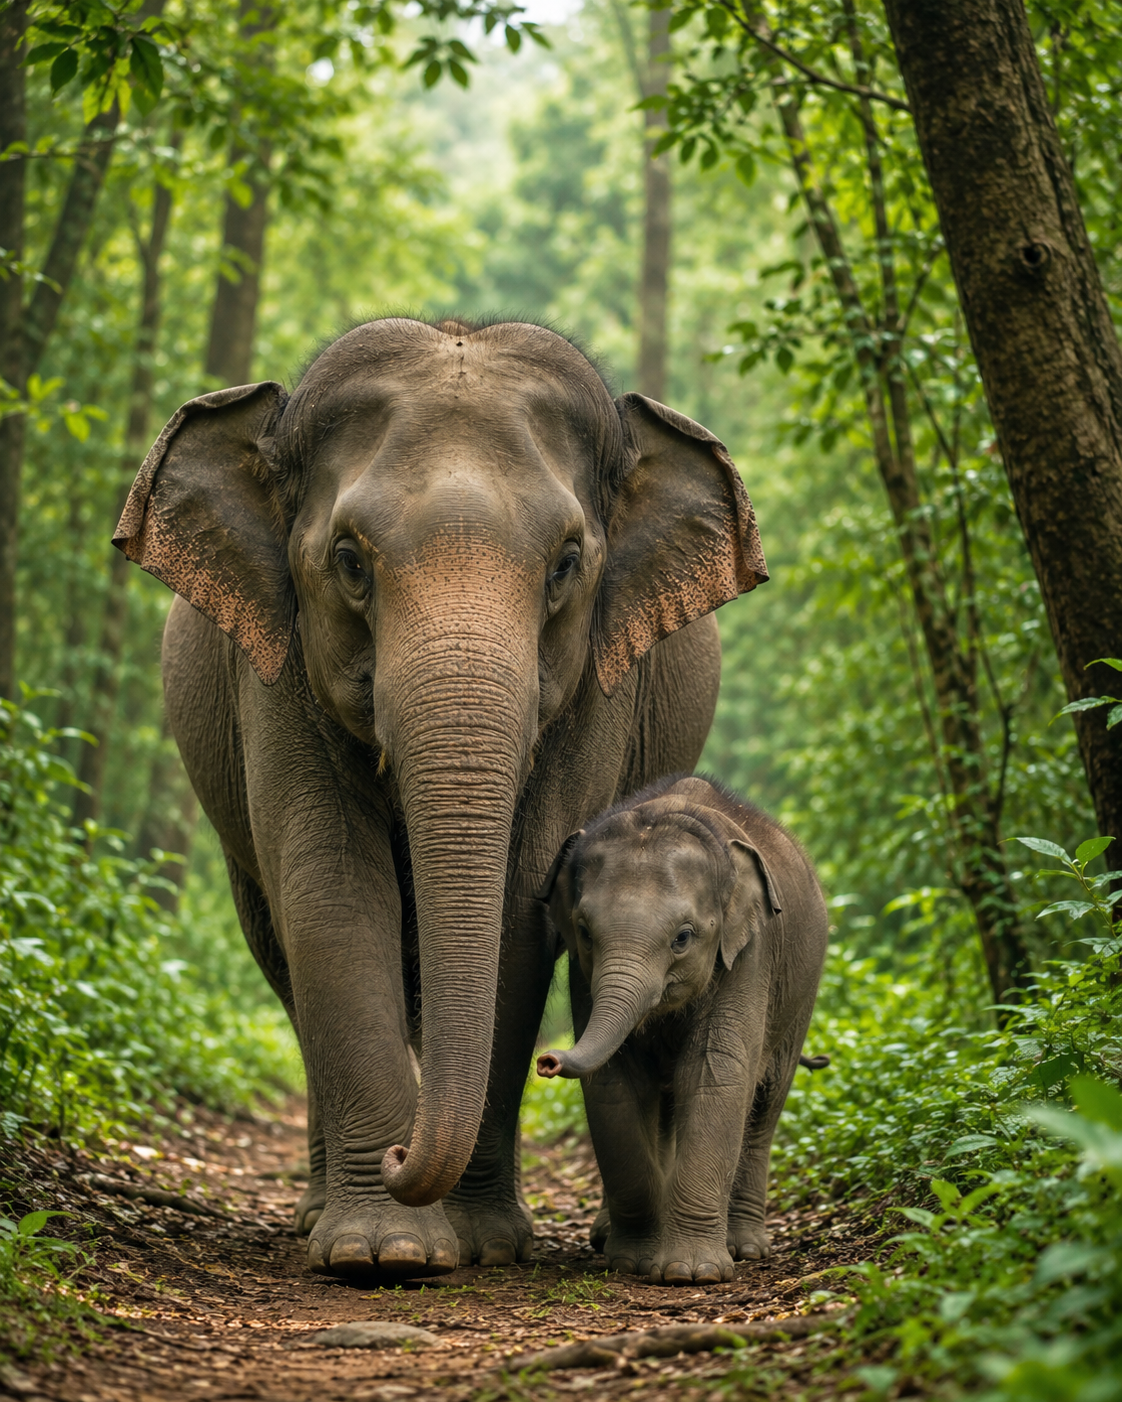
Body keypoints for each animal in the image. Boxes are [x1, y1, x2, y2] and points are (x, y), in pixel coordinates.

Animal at [113, 317, 768, 1281]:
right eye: (349, 560)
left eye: (567, 563)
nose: (399, 1156)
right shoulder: (272, 666)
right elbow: (333, 894)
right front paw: (380, 1252)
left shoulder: (596, 689)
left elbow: (521, 906)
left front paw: (486, 1245)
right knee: (281, 955)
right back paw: (317, 1216)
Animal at [536, 773, 828, 1285]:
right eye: (585, 933)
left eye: (683, 938)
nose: (547, 1060)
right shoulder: (582, 976)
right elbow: (614, 1083)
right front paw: (632, 1262)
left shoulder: (749, 953)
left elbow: (717, 1076)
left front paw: (692, 1274)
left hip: (800, 996)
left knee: (766, 1102)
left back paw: (745, 1248)